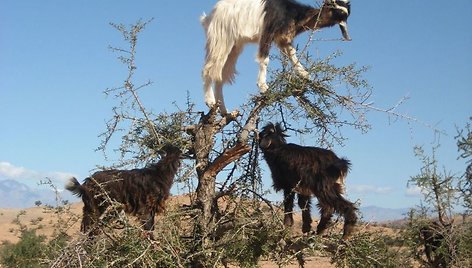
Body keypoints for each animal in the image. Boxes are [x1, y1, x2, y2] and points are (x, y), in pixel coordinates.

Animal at [201, 0, 352, 114]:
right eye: (334, 6)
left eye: (346, 12)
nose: (344, 25)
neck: (293, 13)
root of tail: (209, 16)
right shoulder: (268, 32)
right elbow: (264, 59)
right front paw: (263, 86)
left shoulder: (283, 38)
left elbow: (292, 54)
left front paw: (304, 74)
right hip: (221, 38)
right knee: (209, 69)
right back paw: (210, 101)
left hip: (234, 46)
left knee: (220, 75)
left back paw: (223, 110)